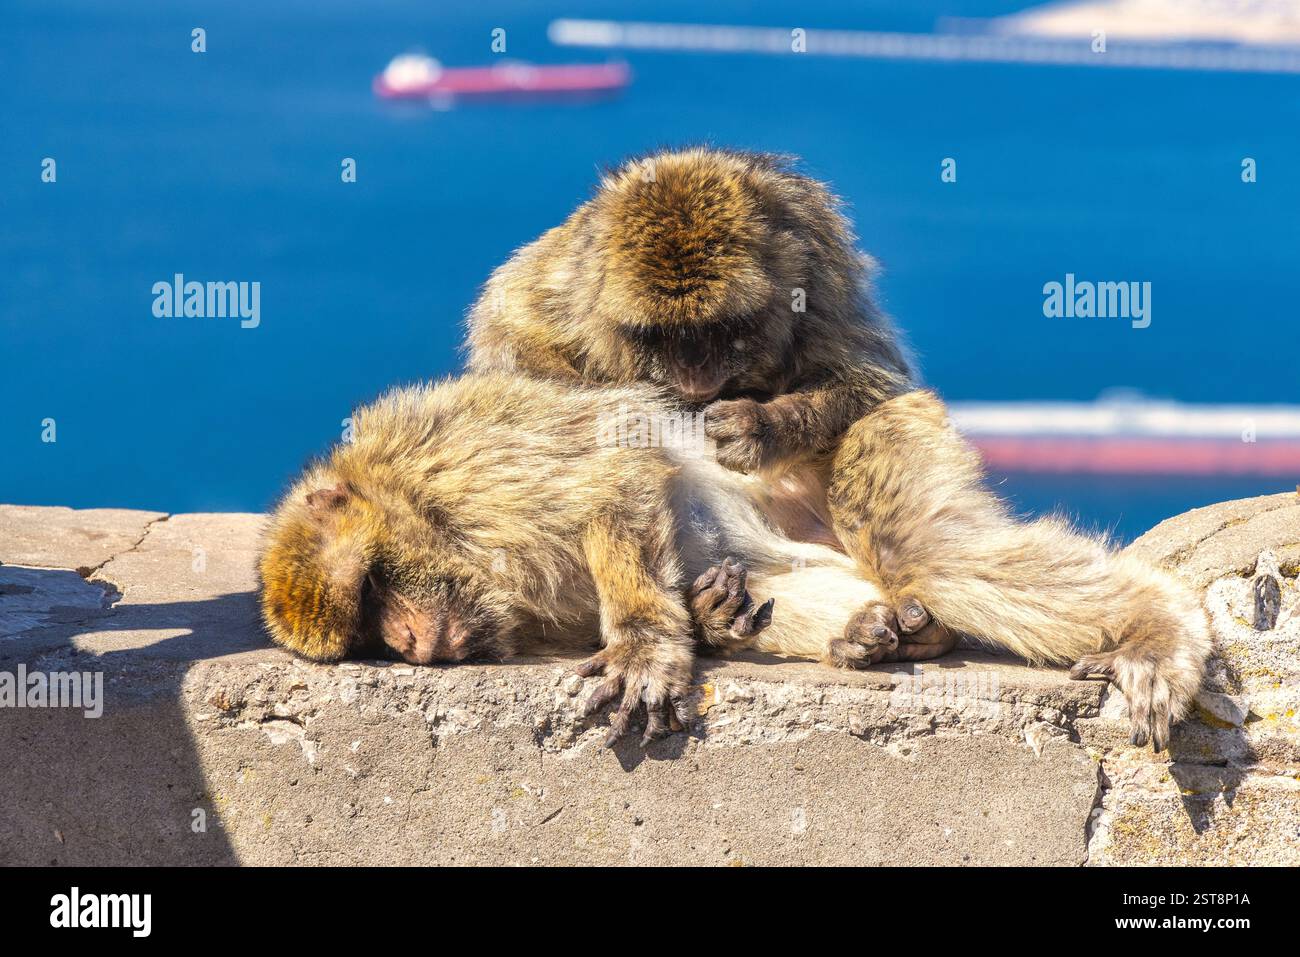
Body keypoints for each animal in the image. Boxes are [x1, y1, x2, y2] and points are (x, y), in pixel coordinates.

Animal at [463, 146, 1212, 749]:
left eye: (721, 333)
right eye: (665, 340)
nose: (697, 384)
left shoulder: (817, 260)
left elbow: (871, 376)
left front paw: (761, 428)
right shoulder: (531, 319)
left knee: (916, 539)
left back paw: (1148, 629)